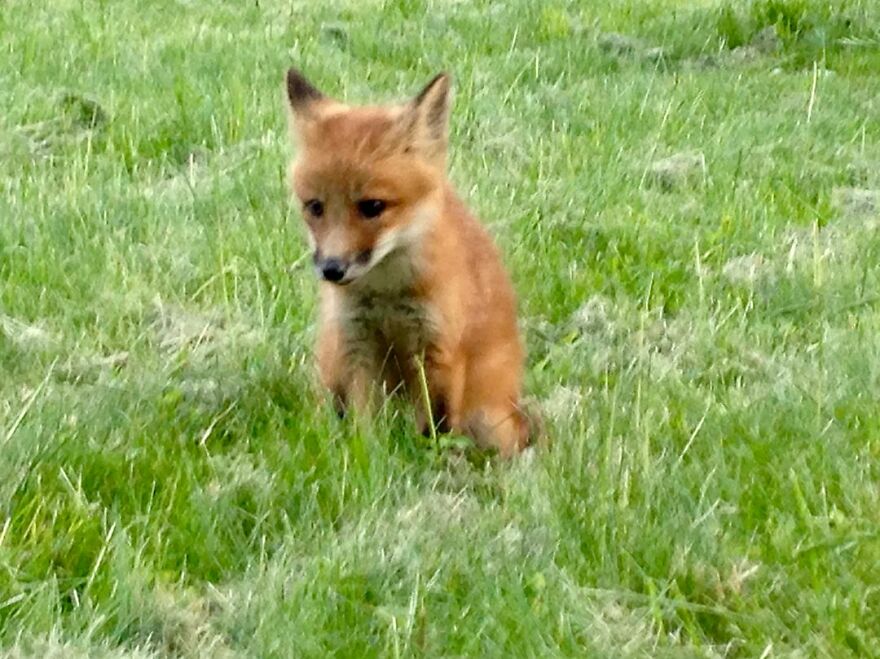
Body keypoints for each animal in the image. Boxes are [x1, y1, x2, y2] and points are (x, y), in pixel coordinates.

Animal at [284, 67, 531, 457]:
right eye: (315, 207)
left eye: (372, 206)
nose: (332, 270)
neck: (387, 295)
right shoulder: (357, 342)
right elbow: (362, 422)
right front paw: (365, 454)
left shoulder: (437, 349)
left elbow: (437, 425)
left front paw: (431, 461)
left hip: (490, 422)